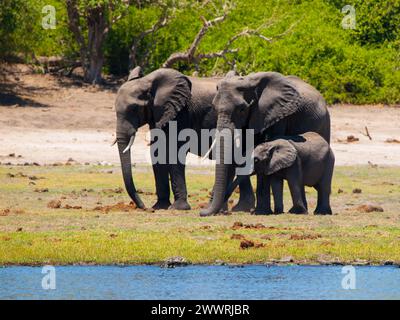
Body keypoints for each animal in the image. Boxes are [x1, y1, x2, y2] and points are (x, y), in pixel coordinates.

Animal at [114, 66, 255, 211]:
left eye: (134, 109)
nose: (144, 207)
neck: (147, 81)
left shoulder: (181, 113)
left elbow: (175, 152)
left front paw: (177, 207)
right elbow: (157, 152)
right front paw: (160, 207)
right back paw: (241, 208)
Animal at [200, 71, 332, 216]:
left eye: (242, 109)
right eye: (214, 107)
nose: (202, 212)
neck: (250, 81)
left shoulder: (277, 113)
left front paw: (261, 212)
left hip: (324, 123)